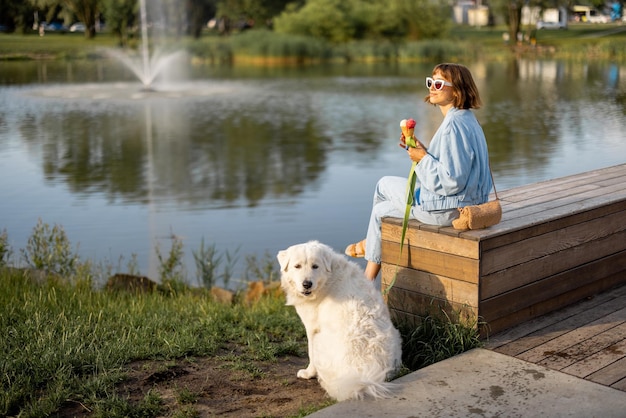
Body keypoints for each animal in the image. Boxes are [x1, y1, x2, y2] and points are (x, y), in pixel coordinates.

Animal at [276, 242, 402, 402]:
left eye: (315, 266)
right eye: (297, 266)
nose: (307, 284)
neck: (328, 279)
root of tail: (364, 374)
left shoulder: (312, 328)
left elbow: (310, 354)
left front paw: (308, 373)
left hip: (321, 340)